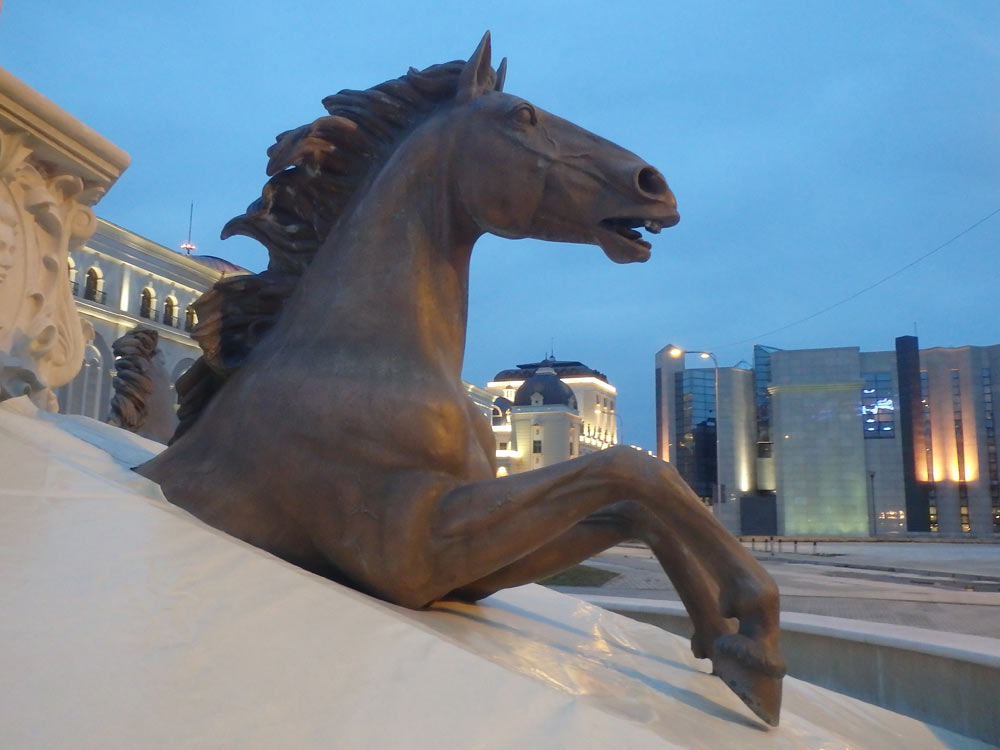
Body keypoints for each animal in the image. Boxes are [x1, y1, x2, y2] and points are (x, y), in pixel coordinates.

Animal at [137, 32, 784, 724]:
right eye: (522, 114)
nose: (653, 183)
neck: (360, 358)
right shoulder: (407, 559)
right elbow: (636, 471)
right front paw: (757, 640)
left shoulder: (465, 570)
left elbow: (632, 503)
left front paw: (726, 642)